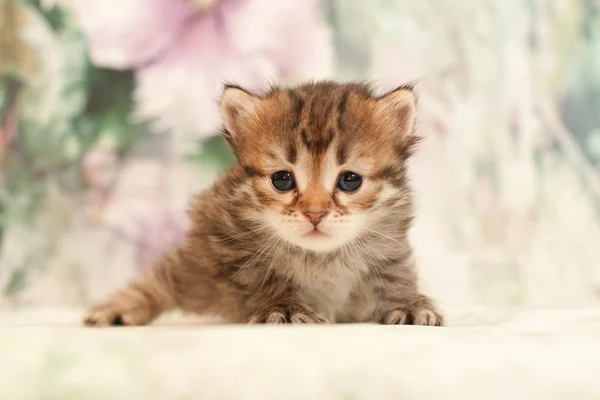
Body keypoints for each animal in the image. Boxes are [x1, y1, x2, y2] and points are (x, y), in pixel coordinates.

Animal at [82, 80, 442, 324]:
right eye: (282, 179)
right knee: (158, 282)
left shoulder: (389, 245)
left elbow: (395, 275)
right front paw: (285, 307)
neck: (320, 257)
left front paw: (408, 303)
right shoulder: (228, 243)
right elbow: (264, 278)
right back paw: (117, 310)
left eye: (350, 180)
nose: (315, 213)